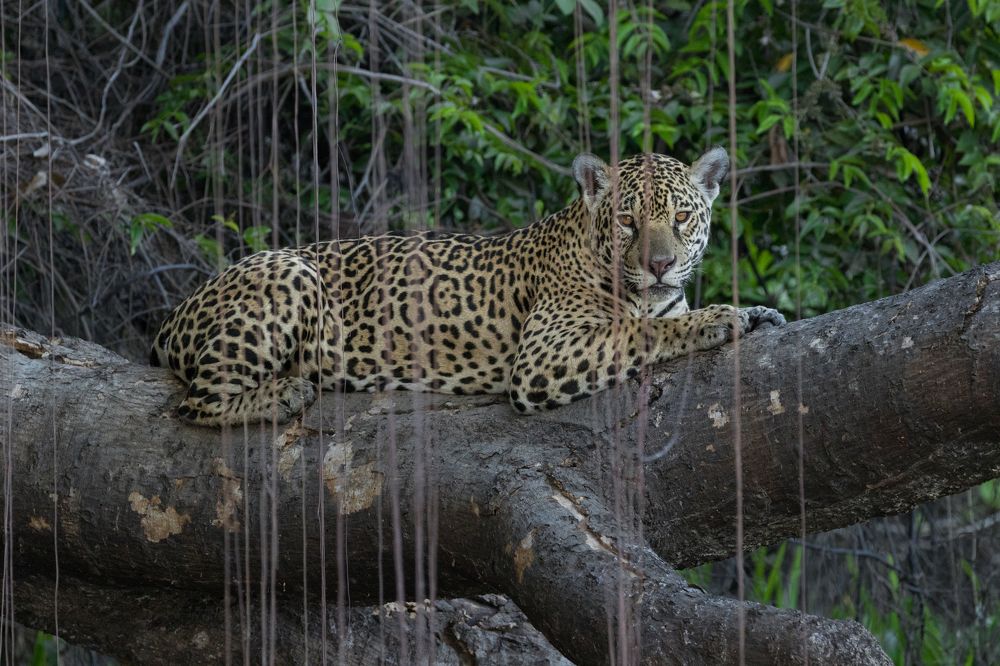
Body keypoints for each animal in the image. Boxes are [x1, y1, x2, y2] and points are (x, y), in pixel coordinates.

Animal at [150, 147, 785, 426]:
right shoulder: (542, 356)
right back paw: (282, 394)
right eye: (627, 220)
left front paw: (757, 311)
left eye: (680, 217)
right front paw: (719, 318)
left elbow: (657, 320)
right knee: (196, 402)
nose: (659, 265)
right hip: (290, 273)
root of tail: (174, 313)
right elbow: (639, 332)